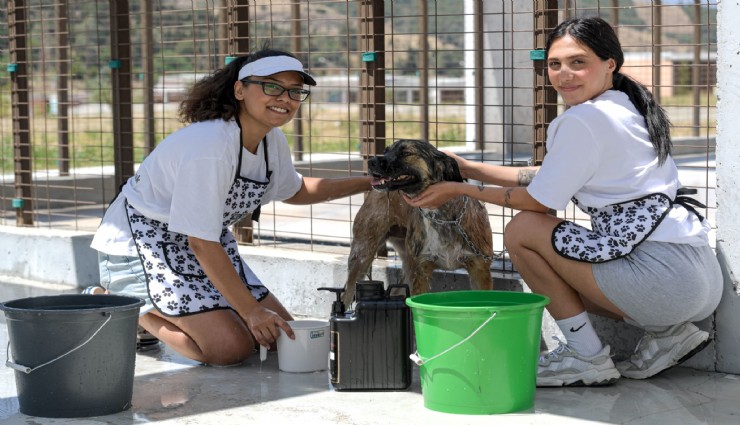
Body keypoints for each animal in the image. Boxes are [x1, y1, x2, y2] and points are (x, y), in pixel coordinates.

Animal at [346, 137, 494, 304]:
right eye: (386, 150)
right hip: (362, 256)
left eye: (406, 153)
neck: (442, 218)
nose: (371, 161)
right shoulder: (420, 272)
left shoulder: (480, 270)